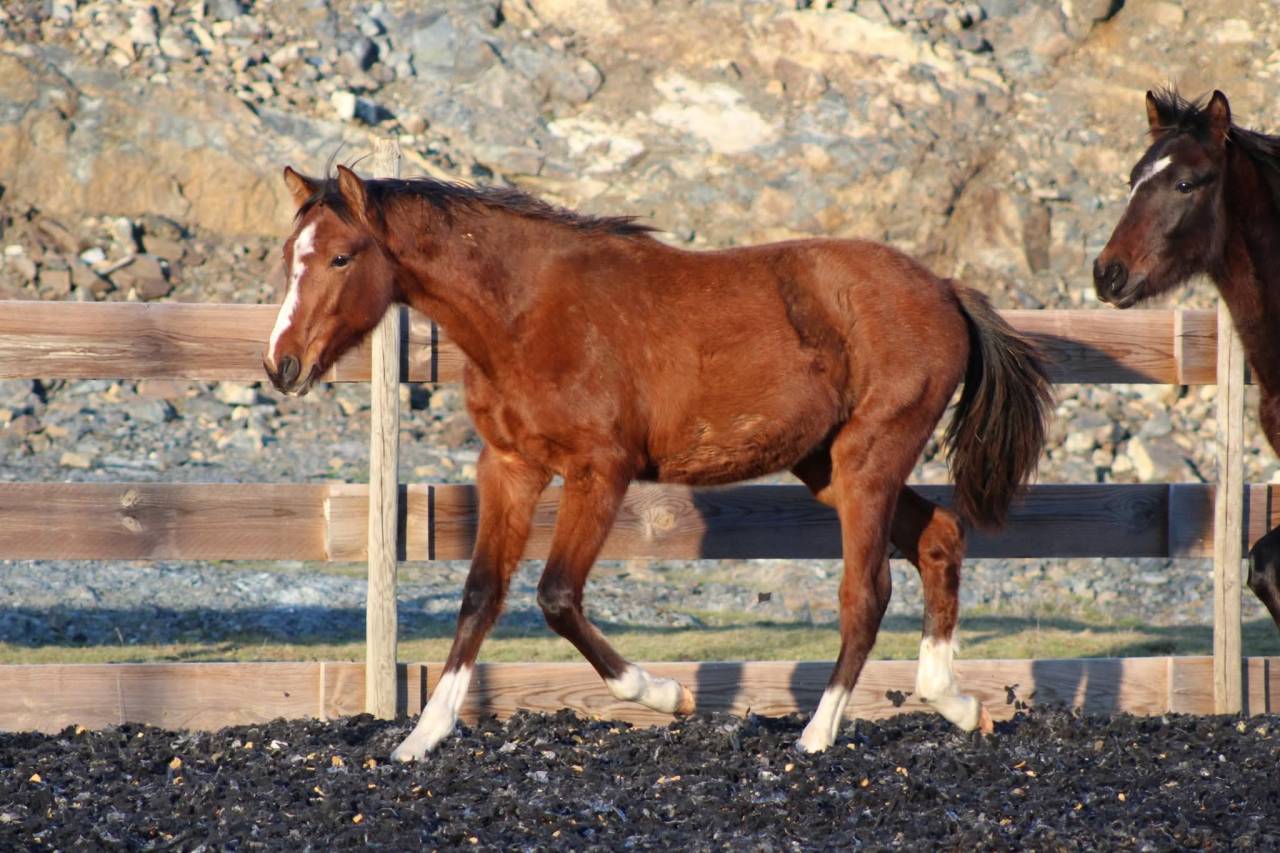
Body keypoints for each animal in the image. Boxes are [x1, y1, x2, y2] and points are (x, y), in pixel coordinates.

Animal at [263, 164, 1052, 761]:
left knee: (867, 593)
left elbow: (556, 595)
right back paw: (957, 703)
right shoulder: (511, 467)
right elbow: (481, 594)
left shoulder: (598, 471)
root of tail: (945, 289)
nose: (282, 364)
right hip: (829, 468)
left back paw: (817, 735)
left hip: (869, 462)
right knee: (939, 537)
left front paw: (667, 694)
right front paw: (421, 738)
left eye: (340, 257)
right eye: (288, 254)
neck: (524, 312)